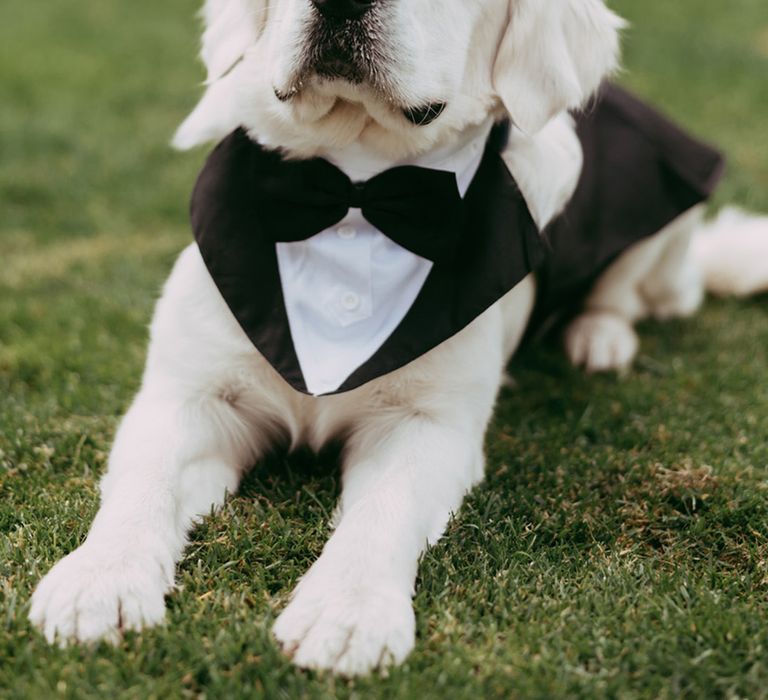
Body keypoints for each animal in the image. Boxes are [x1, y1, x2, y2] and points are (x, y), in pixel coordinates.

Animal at [28, 0, 768, 680]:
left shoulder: (430, 426)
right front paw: (100, 579)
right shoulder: (187, 395)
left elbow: (382, 513)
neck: (356, 189)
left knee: (633, 291)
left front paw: (346, 612)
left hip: (656, 219)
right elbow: (142, 485)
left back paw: (598, 339)